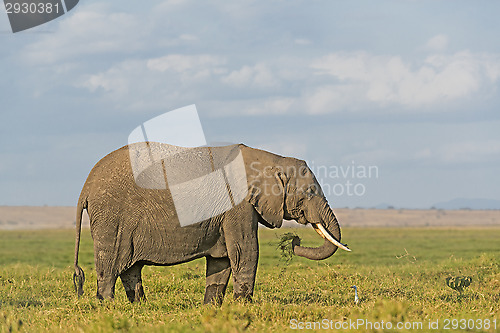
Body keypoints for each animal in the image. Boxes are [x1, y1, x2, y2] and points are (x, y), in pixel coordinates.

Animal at [72, 143, 350, 304]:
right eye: (311, 192)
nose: (294, 241)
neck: (272, 159)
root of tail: (86, 185)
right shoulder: (238, 205)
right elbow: (246, 250)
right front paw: (243, 306)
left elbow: (222, 259)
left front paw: (212, 309)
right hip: (112, 217)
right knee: (110, 265)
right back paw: (107, 306)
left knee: (131, 268)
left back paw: (139, 307)